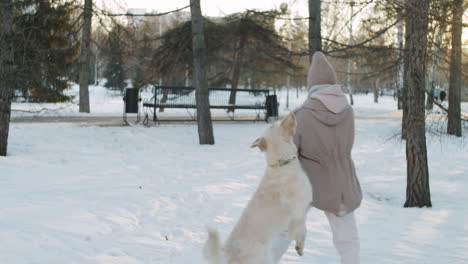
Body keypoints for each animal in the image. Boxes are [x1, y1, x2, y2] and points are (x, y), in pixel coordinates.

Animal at [204, 113, 310, 264]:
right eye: (275, 124)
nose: (291, 113)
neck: (281, 164)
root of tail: (228, 255)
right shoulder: (298, 213)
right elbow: (302, 230)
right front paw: (299, 247)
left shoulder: (300, 214)